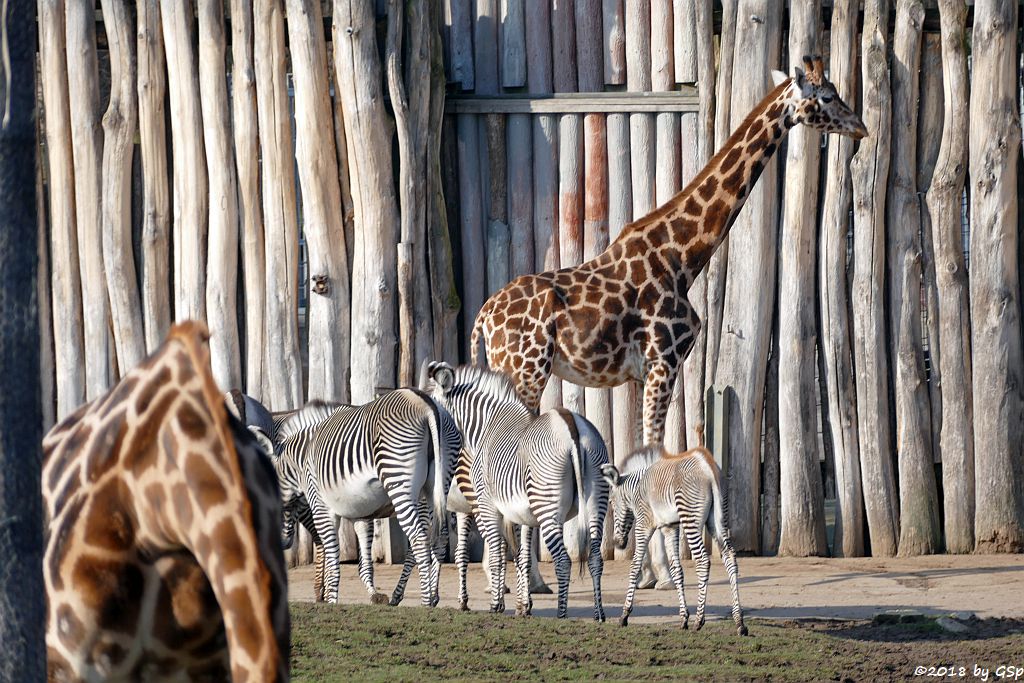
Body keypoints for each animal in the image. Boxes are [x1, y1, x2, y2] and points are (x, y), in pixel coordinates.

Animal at [272, 387, 452, 606]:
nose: (282, 544)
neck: (302, 456)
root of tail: (424, 403)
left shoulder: (321, 507)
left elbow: (333, 555)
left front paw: (331, 600)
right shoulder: (362, 515)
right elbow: (364, 562)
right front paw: (374, 595)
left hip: (400, 479)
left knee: (418, 538)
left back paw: (424, 601)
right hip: (436, 486)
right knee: (439, 537)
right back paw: (430, 597)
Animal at [419, 360, 610, 622]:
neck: (486, 425)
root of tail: (570, 423)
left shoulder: (486, 503)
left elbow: (497, 554)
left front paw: (496, 605)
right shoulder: (522, 512)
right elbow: (522, 556)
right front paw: (522, 605)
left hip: (546, 507)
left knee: (563, 561)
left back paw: (561, 614)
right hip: (595, 500)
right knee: (595, 558)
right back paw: (599, 614)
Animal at [468, 56, 864, 446]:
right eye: (827, 96)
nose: (860, 127)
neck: (683, 258)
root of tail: (483, 319)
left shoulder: (644, 373)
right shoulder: (663, 362)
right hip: (526, 369)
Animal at [598, 444, 753, 634]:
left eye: (611, 503)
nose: (618, 543)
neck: (637, 489)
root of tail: (706, 465)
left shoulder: (644, 523)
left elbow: (634, 566)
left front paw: (624, 615)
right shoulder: (670, 527)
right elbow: (677, 569)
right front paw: (683, 618)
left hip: (690, 517)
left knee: (703, 561)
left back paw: (699, 620)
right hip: (718, 518)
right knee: (730, 556)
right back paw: (739, 622)